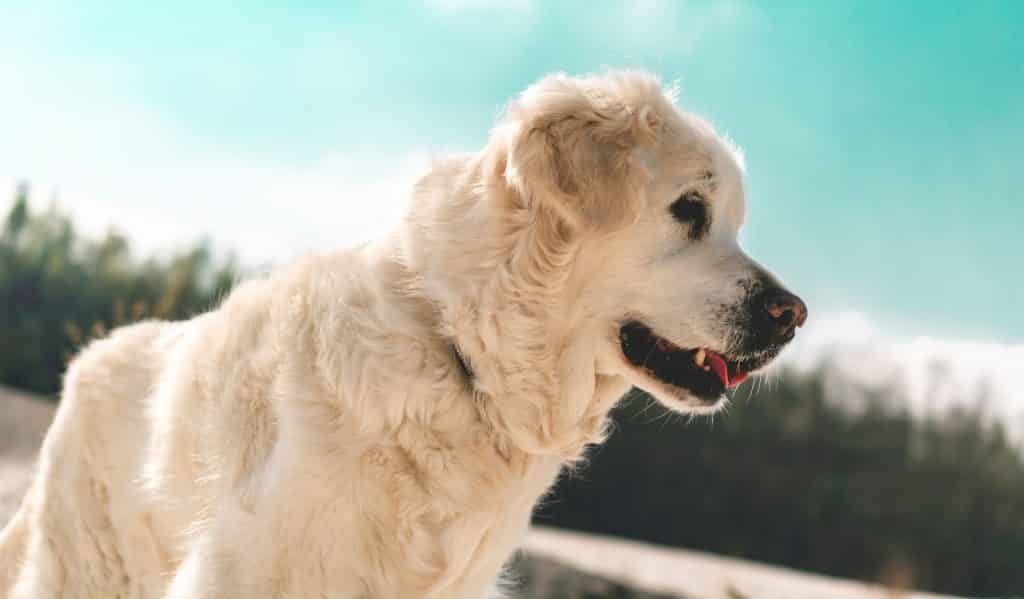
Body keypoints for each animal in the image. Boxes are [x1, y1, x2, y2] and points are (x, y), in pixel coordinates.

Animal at [0, 71, 806, 597]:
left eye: (733, 223)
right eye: (689, 209)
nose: (793, 314)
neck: (463, 353)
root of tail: (90, 356)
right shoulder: (248, 570)